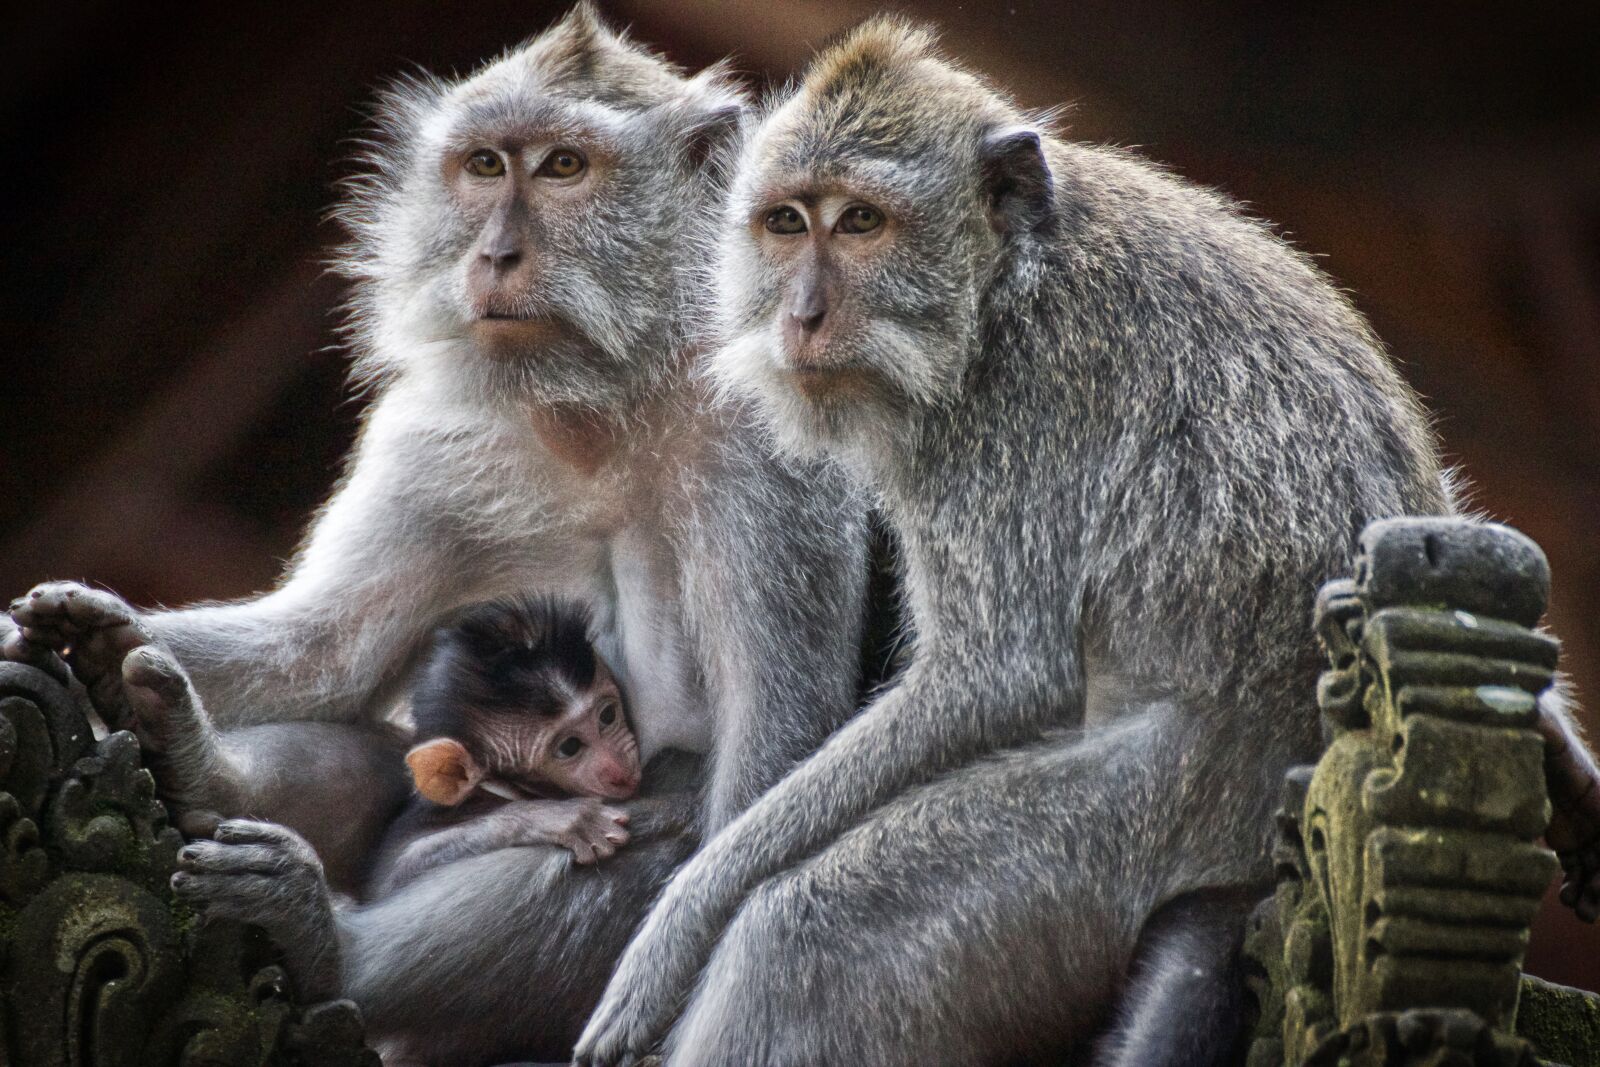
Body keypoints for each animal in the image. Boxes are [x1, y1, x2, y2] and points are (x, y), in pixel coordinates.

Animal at [4, 7, 871, 1058]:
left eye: (565, 166)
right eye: (485, 166)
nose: (494, 255)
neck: (604, 398)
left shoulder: (777, 457)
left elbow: (768, 764)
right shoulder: (437, 435)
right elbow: (329, 651)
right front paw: (94, 638)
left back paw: (328, 948)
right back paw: (205, 776)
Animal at [573, 18, 1600, 1066]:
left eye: (860, 222)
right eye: (786, 224)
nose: (802, 314)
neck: (1004, 287)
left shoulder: (1009, 420)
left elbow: (998, 675)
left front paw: (681, 917)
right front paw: (1565, 754)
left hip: (1118, 844)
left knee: (802, 942)